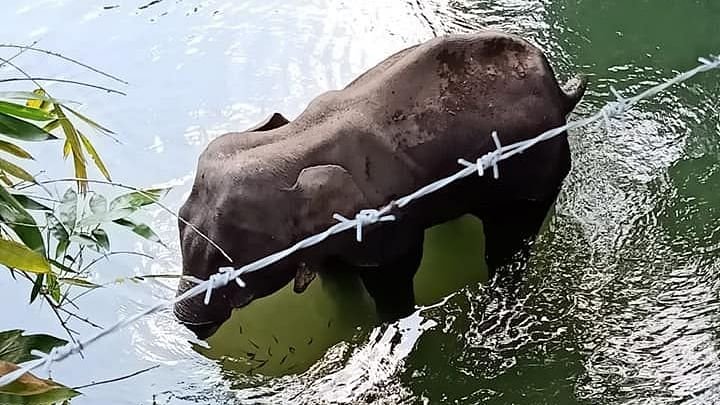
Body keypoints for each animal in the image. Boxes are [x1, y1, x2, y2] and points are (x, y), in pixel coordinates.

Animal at [174, 30, 586, 339]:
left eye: (230, 265)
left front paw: (387, 324)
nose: (188, 325)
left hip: (538, 167)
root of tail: (560, 92)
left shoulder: (384, 221)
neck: (297, 141)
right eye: (179, 220)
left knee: (510, 238)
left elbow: (395, 273)